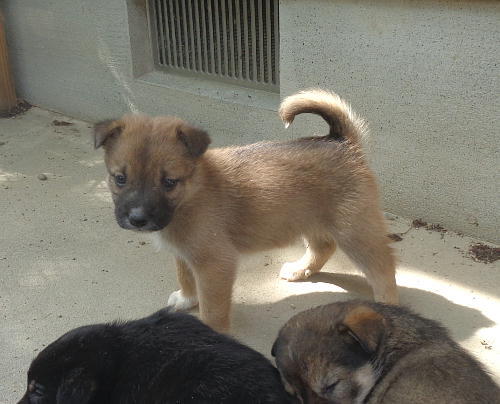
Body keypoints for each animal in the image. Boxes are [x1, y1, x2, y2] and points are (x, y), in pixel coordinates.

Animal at [94, 89, 398, 332]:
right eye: (120, 178)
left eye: (169, 182)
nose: (137, 219)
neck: (192, 193)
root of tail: (342, 141)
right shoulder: (185, 254)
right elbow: (184, 275)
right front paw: (187, 298)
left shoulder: (215, 264)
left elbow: (212, 309)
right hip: (310, 219)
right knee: (323, 246)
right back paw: (300, 270)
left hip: (354, 230)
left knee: (382, 267)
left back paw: (387, 303)